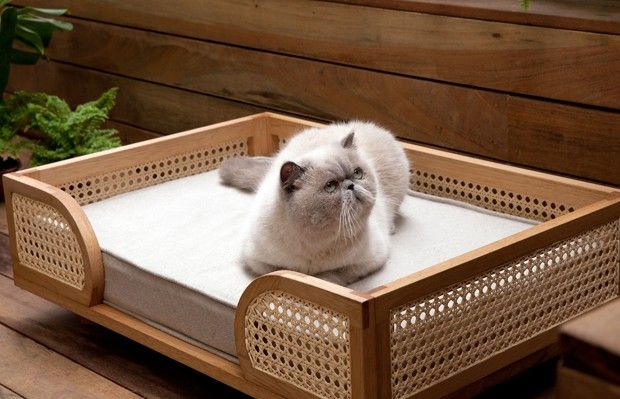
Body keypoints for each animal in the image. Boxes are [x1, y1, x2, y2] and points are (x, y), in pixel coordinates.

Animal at [219, 121, 412, 284]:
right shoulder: (256, 260)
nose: (351, 185)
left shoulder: (366, 261)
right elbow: (280, 272)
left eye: (357, 174)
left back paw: (391, 228)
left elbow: (328, 277)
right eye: (330, 187)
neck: (317, 241)